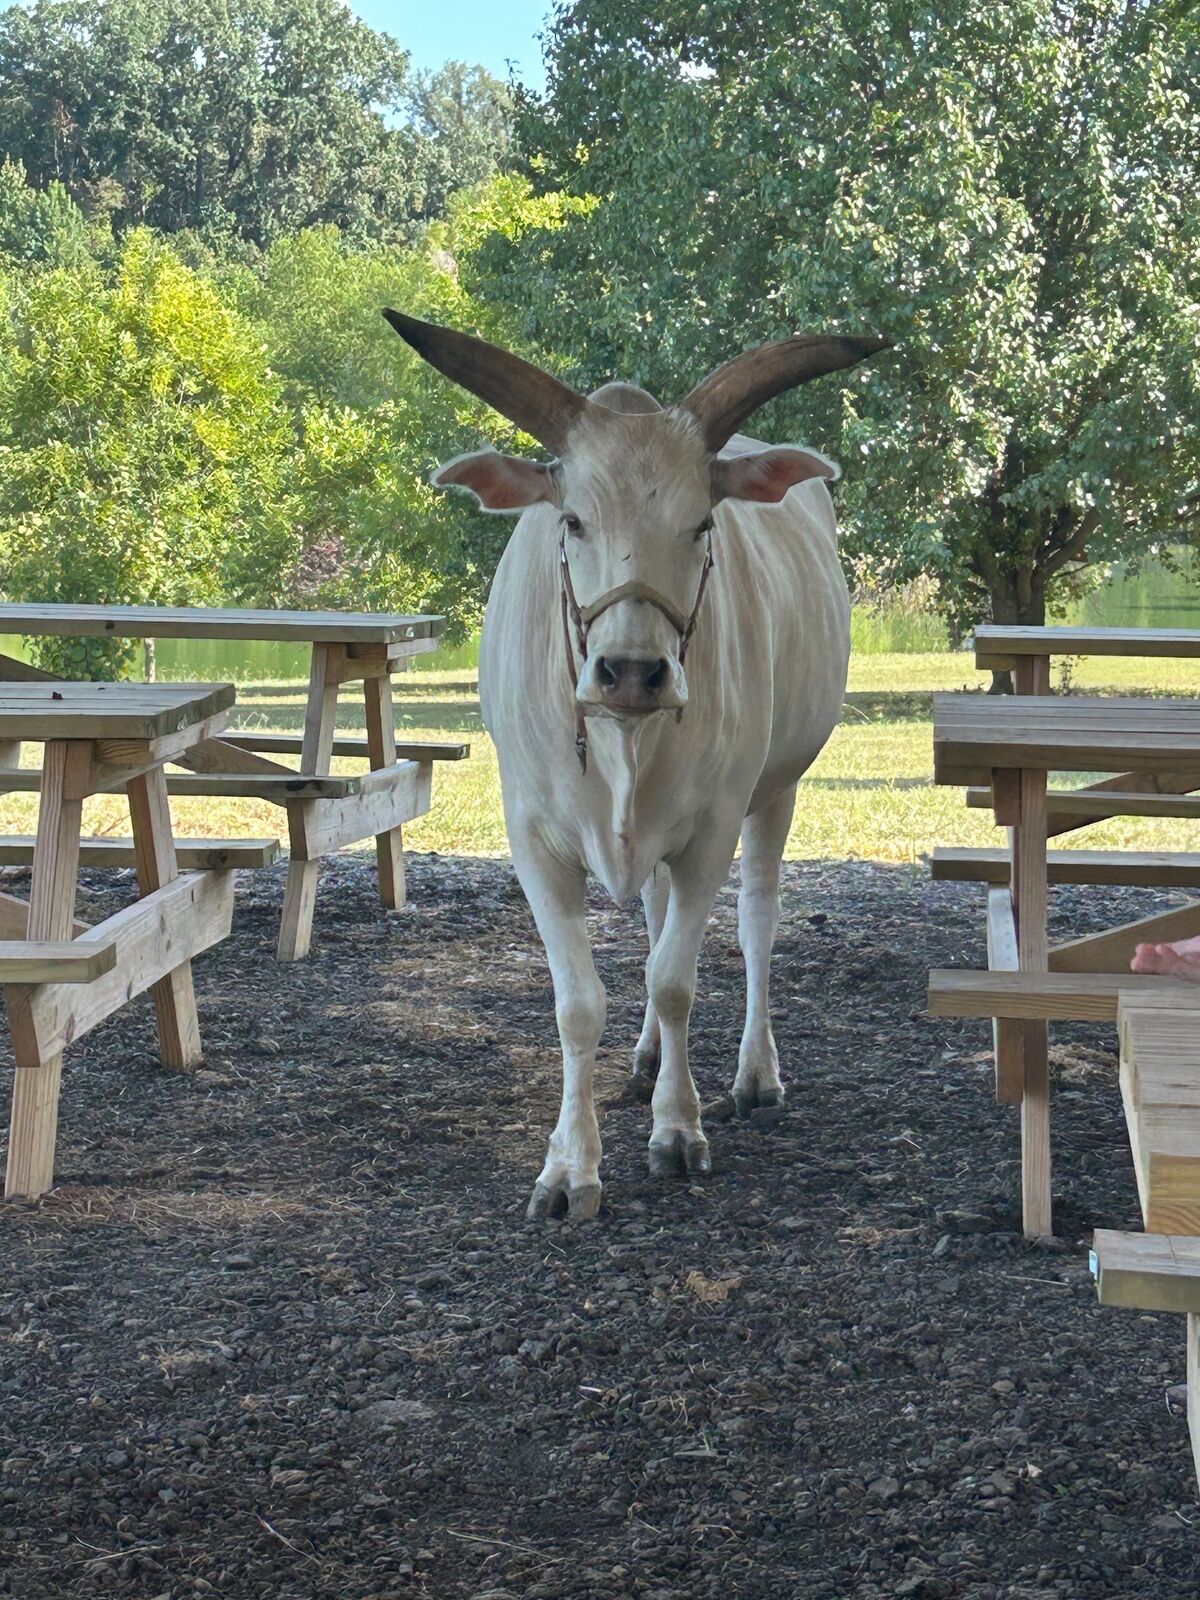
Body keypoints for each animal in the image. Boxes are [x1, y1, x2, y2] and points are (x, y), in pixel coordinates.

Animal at [384, 310, 888, 1218]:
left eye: (702, 524)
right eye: (572, 521)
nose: (631, 673)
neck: (621, 743)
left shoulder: (711, 831)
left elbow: (675, 980)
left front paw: (678, 1131)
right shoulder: (534, 841)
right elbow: (579, 1003)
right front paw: (568, 1168)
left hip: (780, 792)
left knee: (756, 924)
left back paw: (754, 1073)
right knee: (654, 921)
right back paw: (649, 1058)